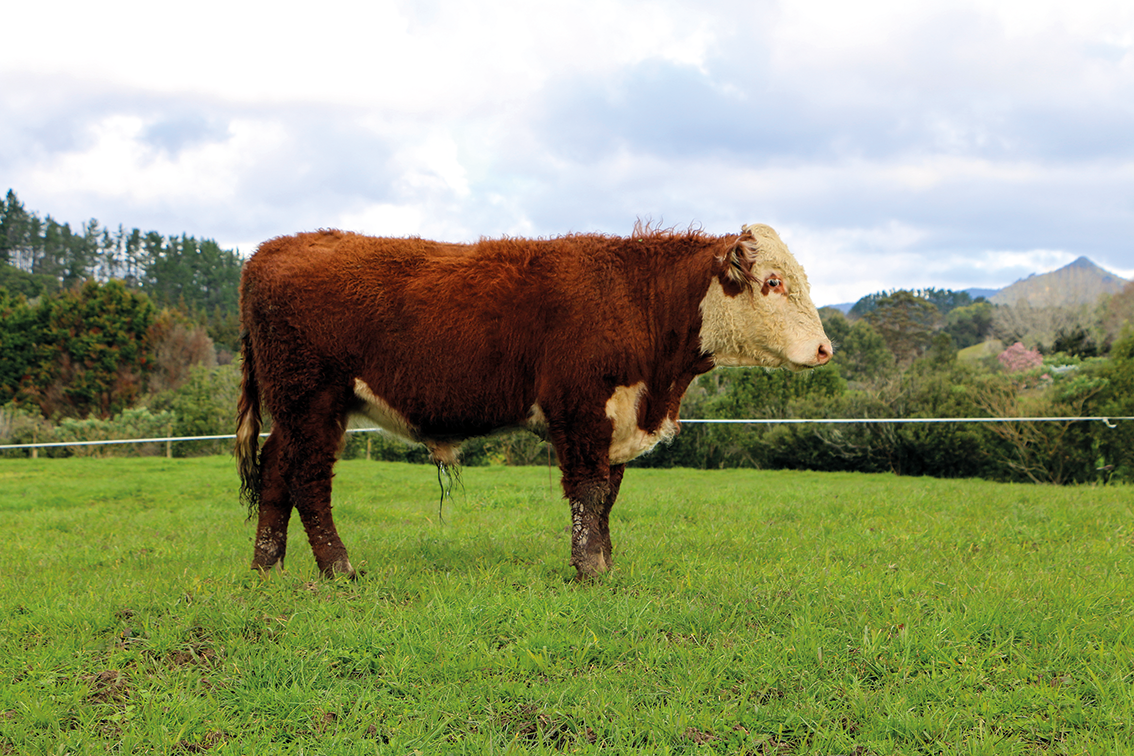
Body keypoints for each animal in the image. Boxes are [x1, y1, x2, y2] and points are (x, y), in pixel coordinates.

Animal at [235, 223, 832, 580]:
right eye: (772, 282)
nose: (826, 349)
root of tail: (273, 248)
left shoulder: (616, 420)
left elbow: (608, 497)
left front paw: (605, 563)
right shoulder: (581, 410)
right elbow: (588, 493)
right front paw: (590, 570)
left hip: (295, 410)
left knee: (275, 472)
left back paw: (268, 567)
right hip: (313, 399)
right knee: (309, 481)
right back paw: (339, 569)